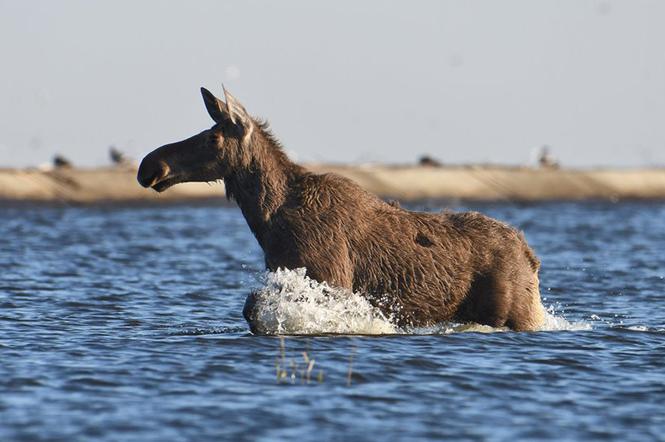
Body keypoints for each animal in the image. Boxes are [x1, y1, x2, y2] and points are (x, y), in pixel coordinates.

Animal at [136, 86, 544, 332]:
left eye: (212, 137)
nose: (149, 165)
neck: (267, 218)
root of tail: (530, 254)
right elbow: (252, 307)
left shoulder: (331, 277)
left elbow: (259, 308)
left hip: (515, 312)